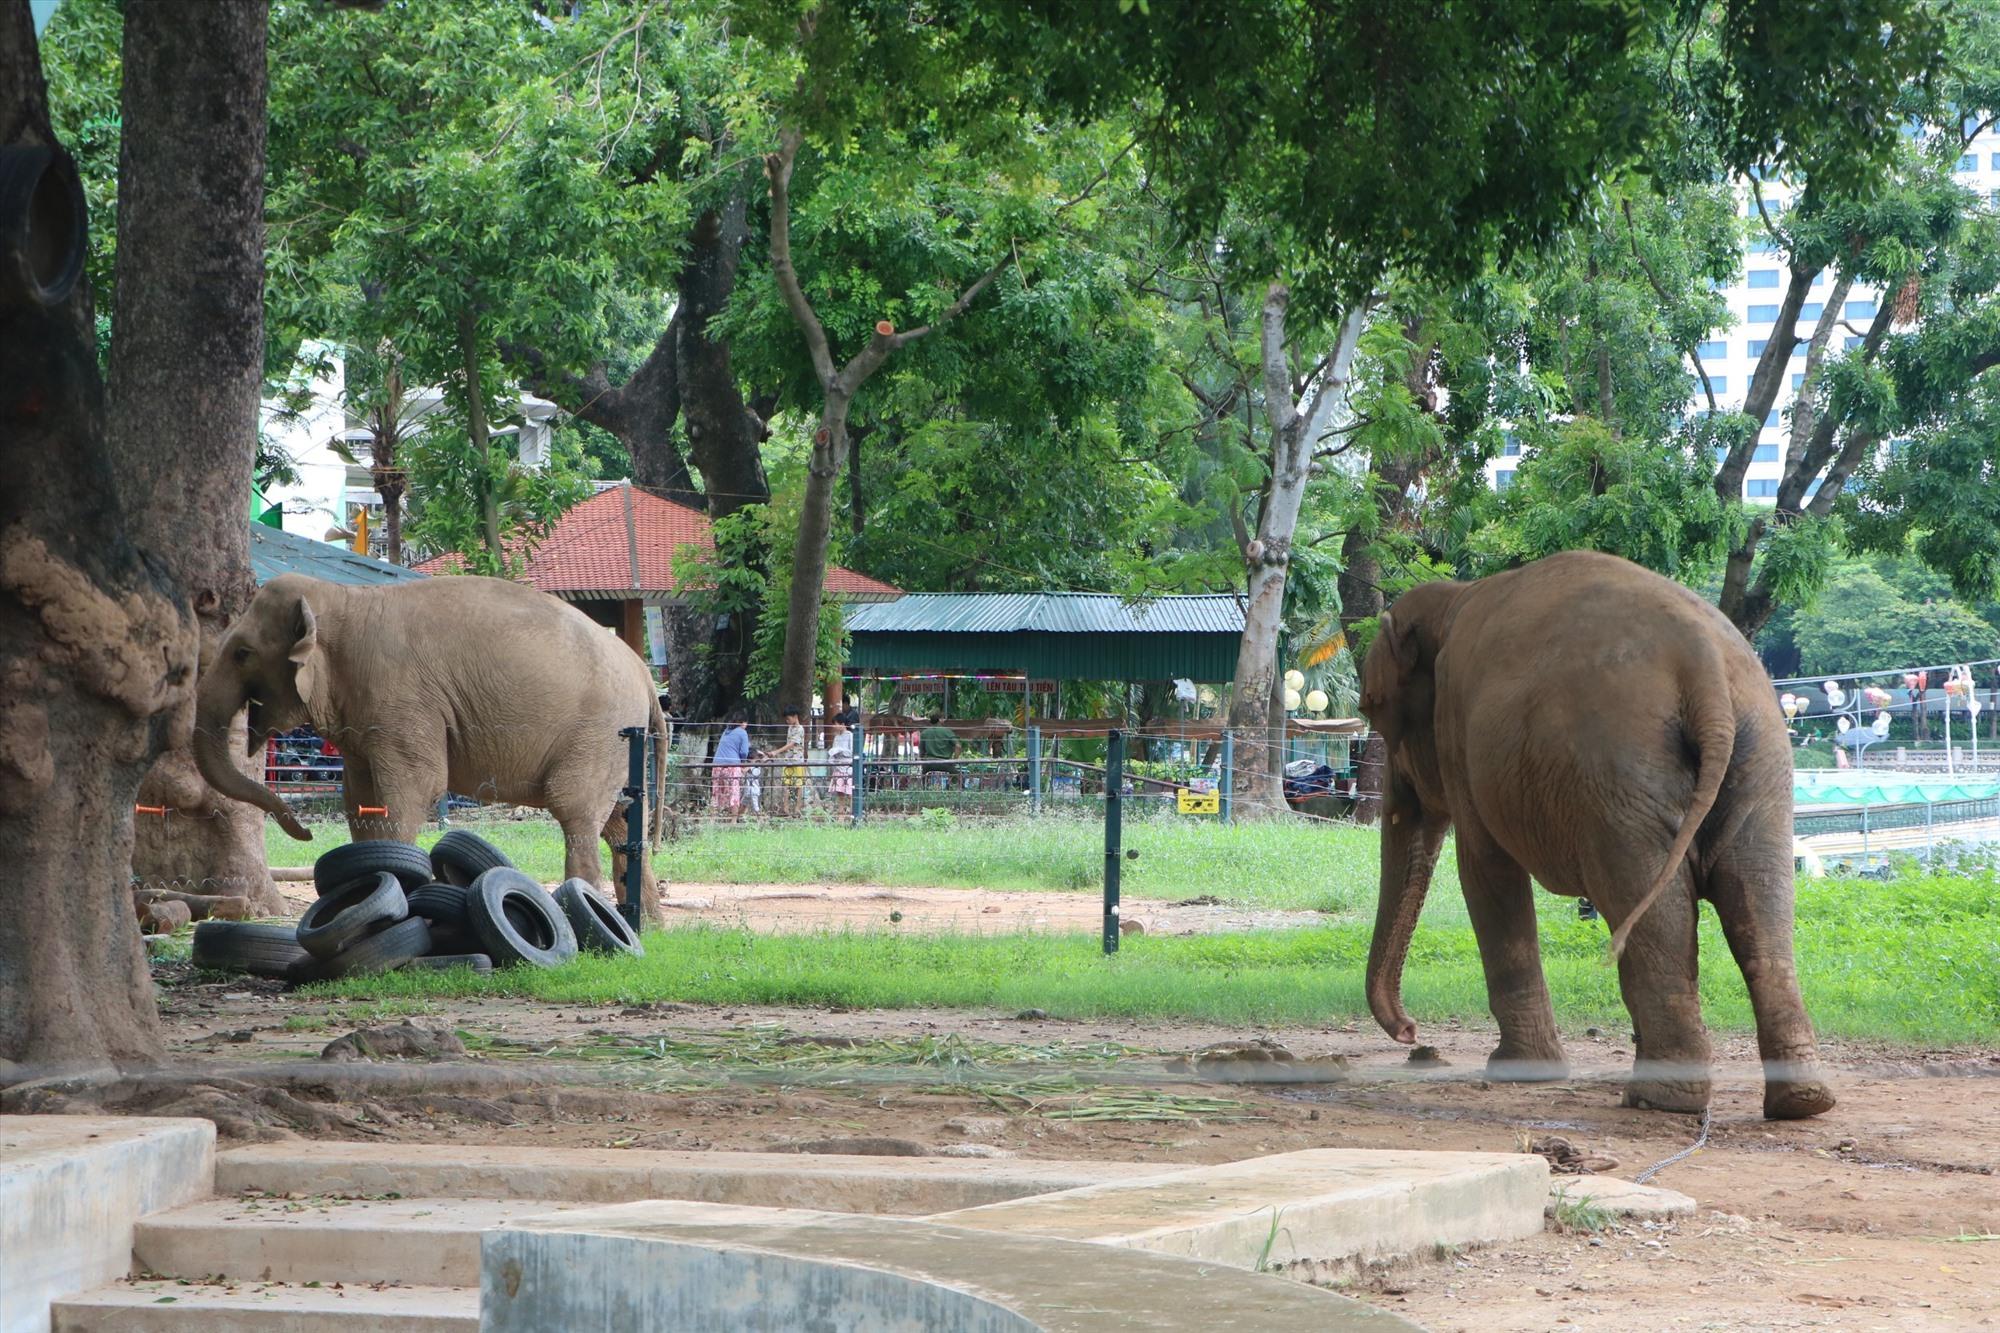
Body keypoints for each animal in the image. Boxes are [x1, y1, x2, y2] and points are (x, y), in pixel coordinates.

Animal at [195, 564, 668, 920]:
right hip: (616, 744)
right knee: (621, 822)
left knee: (576, 812)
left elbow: (413, 790)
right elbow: (360, 801)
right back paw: (647, 928)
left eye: (242, 653)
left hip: (599, 732)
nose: (307, 832)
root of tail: (645, 675)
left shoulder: (402, 702)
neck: (344, 599)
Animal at [1352, 544, 1832, 1112]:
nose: (1411, 1033)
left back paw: (1659, 1098)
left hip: (1622, 774)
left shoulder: (1458, 736)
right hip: (1758, 765)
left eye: (1373, 710)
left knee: (1649, 904)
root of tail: (1706, 669)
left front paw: (1517, 1071)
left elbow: (1486, 873)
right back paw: (1799, 1102)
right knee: (1759, 905)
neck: (1453, 599)